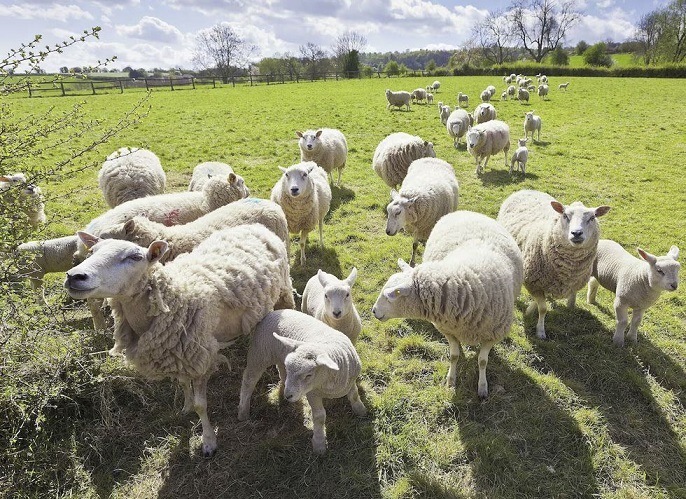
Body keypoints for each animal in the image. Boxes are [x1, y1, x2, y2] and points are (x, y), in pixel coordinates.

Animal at [65, 223, 293, 457]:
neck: (176, 299)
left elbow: (202, 406)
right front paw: (186, 406)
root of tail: (255, 226)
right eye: (92, 251)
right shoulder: (177, 353)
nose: (75, 276)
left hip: (284, 292)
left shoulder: (200, 357)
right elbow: (183, 382)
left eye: (135, 257)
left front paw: (208, 441)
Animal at [237, 309, 366, 455]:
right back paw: (243, 411)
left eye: (308, 375)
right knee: (249, 381)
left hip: (279, 355)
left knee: (281, 370)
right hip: (259, 354)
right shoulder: (312, 393)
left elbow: (354, 395)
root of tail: (274, 312)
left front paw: (360, 410)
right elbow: (319, 417)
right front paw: (319, 443)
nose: (288, 395)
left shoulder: (350, 380)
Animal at [372, 210, 524, 397]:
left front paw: (482, 387)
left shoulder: (493, 334)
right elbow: (454, 356)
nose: (373, 311)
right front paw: (451, 381)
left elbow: (482, 361)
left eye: (392, 295)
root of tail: (465, 211)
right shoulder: (449, 330)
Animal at [497, 189, 611, 339]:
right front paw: (540, 331)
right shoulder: (534, 282)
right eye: (565, 215)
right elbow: (543, 308)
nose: (576, 233)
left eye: (592, 218)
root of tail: (527, 190)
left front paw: (530, 310)